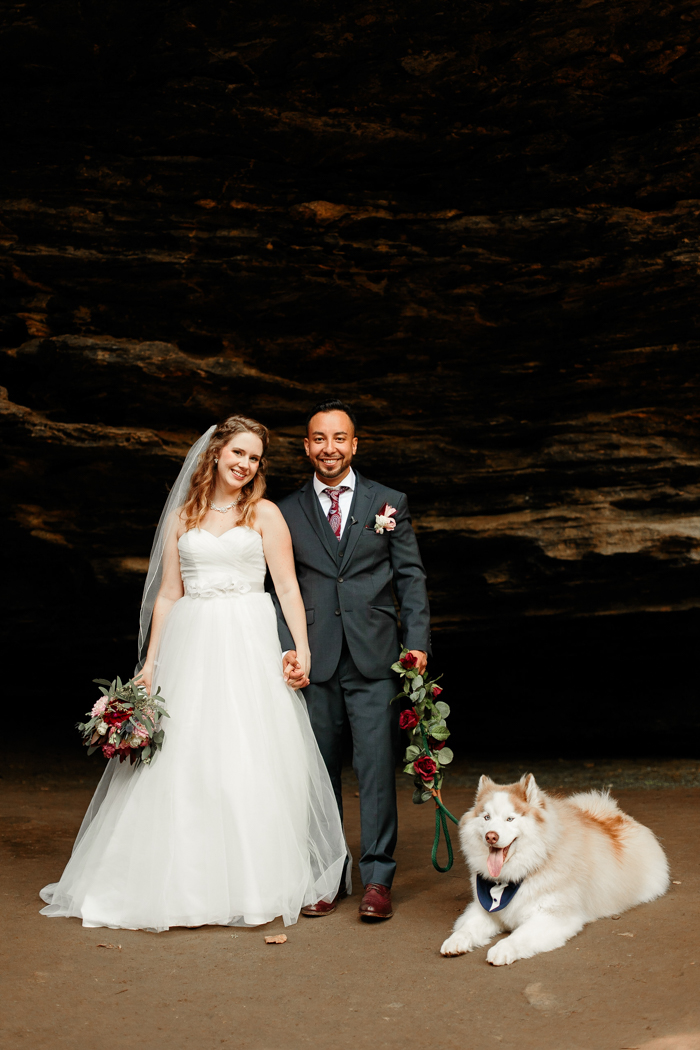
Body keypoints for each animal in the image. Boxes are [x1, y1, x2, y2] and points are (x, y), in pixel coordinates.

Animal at [440, 772, 671, 965]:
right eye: (486, 817)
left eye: (510, 818)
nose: (491, 836)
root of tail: (613, 814)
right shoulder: (485, 909)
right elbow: (468, 927)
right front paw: (455, 940)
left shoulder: (553, 916)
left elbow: (520, 935)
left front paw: (502, 949)